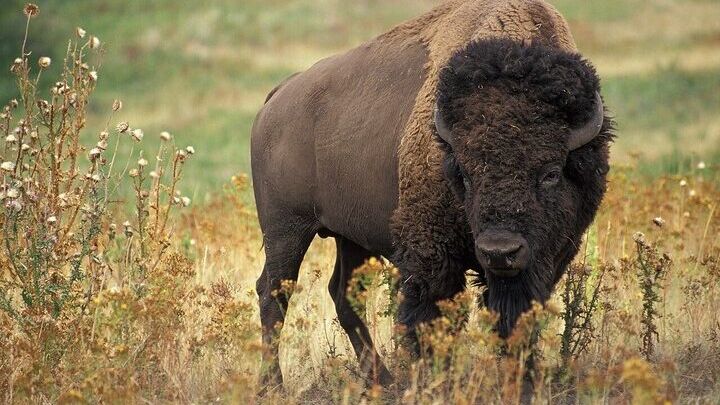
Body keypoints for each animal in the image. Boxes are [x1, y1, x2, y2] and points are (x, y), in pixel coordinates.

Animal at [251, 0, 613, 388]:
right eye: (465, 174)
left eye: (550, 173)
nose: (499, 251)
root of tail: (277, 98)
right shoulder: (432, 254)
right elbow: (431, 317)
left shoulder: (545, 260)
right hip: (286, 230)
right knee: (274, 292)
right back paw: (273, 384)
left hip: (350, 237)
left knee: (343, 293)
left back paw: (383, 381)